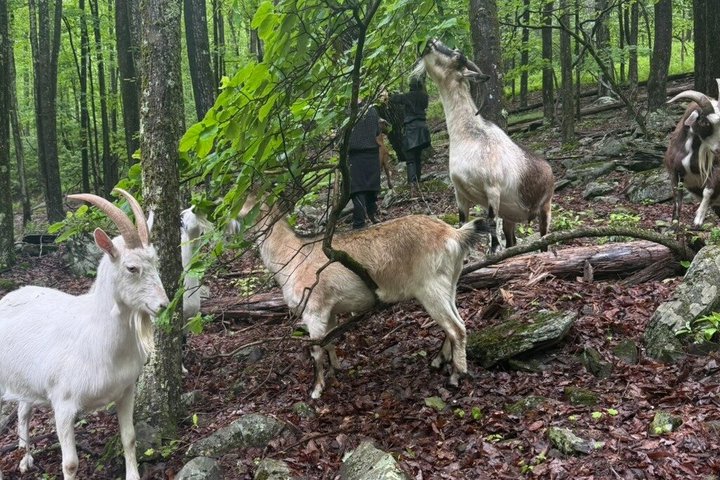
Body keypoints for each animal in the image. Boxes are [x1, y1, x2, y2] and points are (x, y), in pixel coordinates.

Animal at [0, 189, 168, 480]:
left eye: (155, 261)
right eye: (131, 268)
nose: (163, 304)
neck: (97, 337)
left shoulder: (126, 391)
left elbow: (130, 438)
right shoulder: (64, 404)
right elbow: (70, 463)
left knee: (23, 410)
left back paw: (26, 458)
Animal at [241, 195, 490, 399]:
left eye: (246, 205)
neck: (294, 256)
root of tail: (454, 235)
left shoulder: (314, 309)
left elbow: (316, 349)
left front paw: (316, 389)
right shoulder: (330, 310)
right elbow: (329, 341)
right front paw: (335, 369)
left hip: (431, 288)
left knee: (456, 328)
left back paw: (457, 375)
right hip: (450, 283)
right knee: (456, 322)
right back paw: (439, 360)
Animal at [415, 39, 554, 252]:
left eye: (457, 57)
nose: (430, 41)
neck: (470, 139)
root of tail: (550, 170)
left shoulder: (492, 191)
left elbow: (491, 229)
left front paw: (492, 251)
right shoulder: (460, 194)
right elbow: (462, 225)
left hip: (545, 208)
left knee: (544, 239)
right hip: (510, 217)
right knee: (511, 242)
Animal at [665, 81, 720, 227]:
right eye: (705, 122)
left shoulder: (716, 168)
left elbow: (707, 191)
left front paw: (698, 220)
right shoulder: (673, 171)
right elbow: (677, 198)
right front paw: (674, 225)